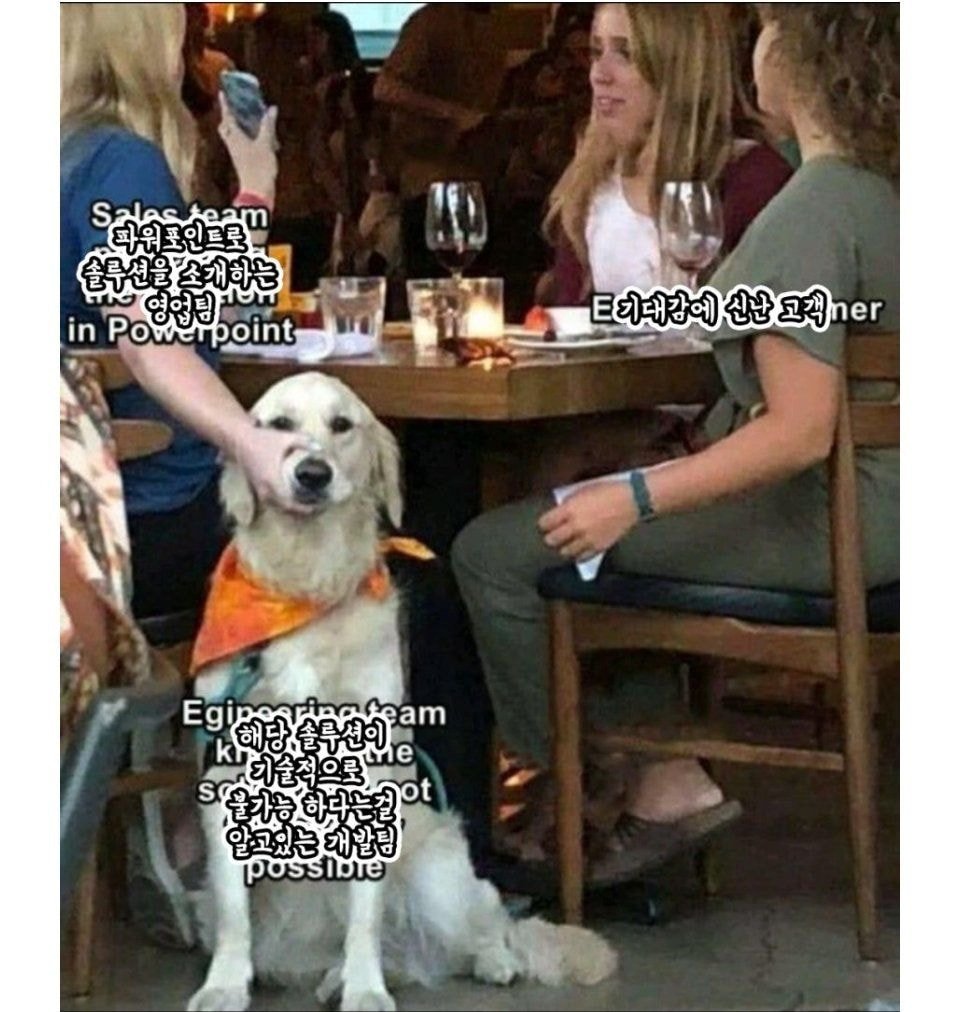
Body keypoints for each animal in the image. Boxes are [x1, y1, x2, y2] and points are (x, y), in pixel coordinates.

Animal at [186, 373, 617, 1012]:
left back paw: (485, 962)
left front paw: (366, 990)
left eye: (342, 425)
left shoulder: (370, 785)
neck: (306, 584)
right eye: (280, 425)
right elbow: (235, 915)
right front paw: (223, 986)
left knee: (490, 922)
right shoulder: (224, 782)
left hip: (440, 869)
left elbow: (365, 917)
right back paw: (332, 975)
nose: (312, 473)